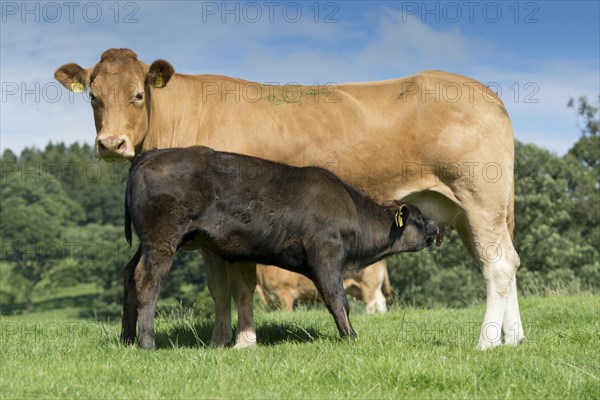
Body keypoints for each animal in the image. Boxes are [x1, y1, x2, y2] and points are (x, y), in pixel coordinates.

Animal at [56, 47, 524, 350]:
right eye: (94, 97)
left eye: (138, 94)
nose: (111, 144)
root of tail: (484, 91)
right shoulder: (210, 239)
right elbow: (219, 290)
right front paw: (219, 341)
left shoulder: (234, 237)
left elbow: (240, 285)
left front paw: (243, 342)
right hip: (467, 209)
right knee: (506, 262)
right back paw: (513, 338)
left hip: (479, 197)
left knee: (498, 266)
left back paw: (486, 342)